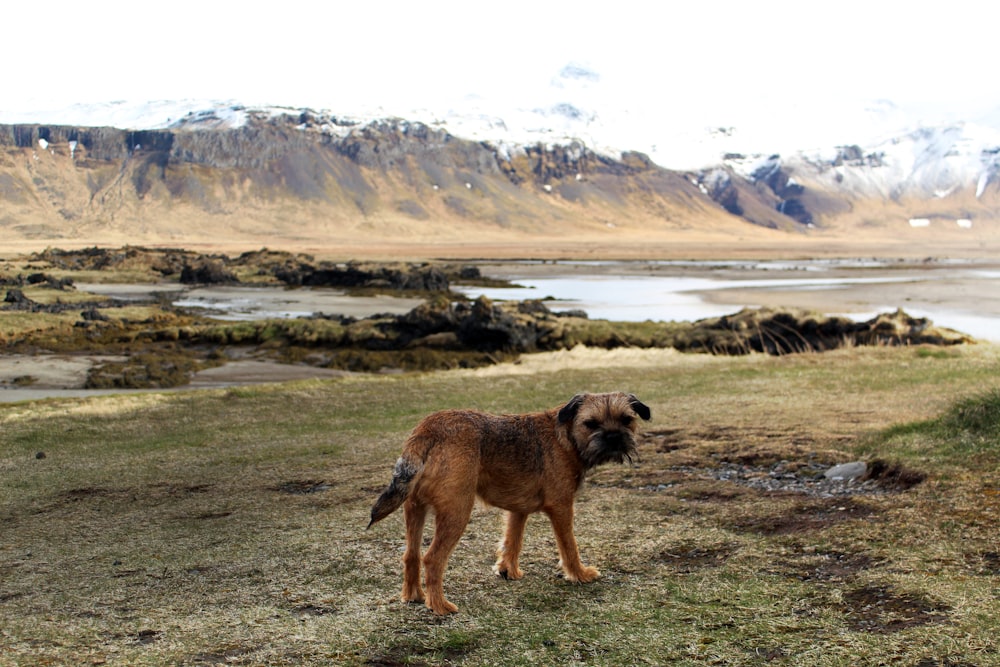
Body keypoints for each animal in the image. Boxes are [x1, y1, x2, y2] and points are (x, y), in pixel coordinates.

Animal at [366, 392, 648, 616]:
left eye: (626, 419)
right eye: (591, 423)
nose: (614, 437)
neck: (564, 437)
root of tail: (428, 429)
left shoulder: (518, 510)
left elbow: (513, 540)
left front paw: (507, 570)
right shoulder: (562, 507)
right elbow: (569, 546)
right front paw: (579, 574)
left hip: (414, 508)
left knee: (410, 555)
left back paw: (413, 596)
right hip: (457, 511)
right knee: (432, 559)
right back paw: (439, 606)